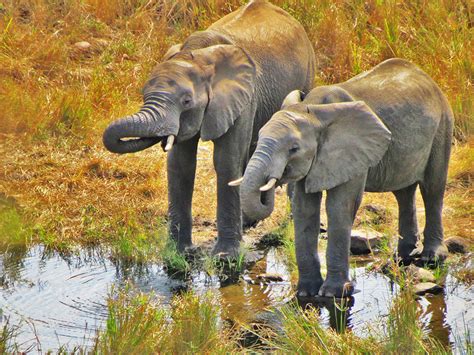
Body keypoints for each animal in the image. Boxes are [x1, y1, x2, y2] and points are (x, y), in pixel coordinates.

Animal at [103, 0, 314, 256]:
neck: (198, 56)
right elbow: (180, 165)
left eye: (186, 101)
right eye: (144, 95)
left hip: (307, 75)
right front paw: (180, 253)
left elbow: (227, 160)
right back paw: (247, 222)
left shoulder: (244, 97)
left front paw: (226, 256)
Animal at [235, 58, 454, 298]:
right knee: (403, 192)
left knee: (433, 188)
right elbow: (304, 209)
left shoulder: (352, 151)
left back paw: (432, 258)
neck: (314, 113)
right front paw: (306, 293)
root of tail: (428, 79)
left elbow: (340, 206)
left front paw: (333, 294)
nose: (273, 179)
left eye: (294, 148)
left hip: (443, 126)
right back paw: (403, 257)